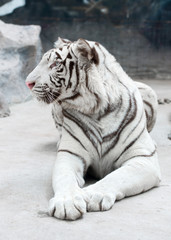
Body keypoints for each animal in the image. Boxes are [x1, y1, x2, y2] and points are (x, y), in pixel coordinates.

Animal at [25, 37, 160, 219]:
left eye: (54, 64)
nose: (28, 83)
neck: (99, 110)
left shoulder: (143, 158)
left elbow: (117, 177)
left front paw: (92, 195)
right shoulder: (70, 154)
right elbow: (64, 177)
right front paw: (67, 202)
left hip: (150, 91)